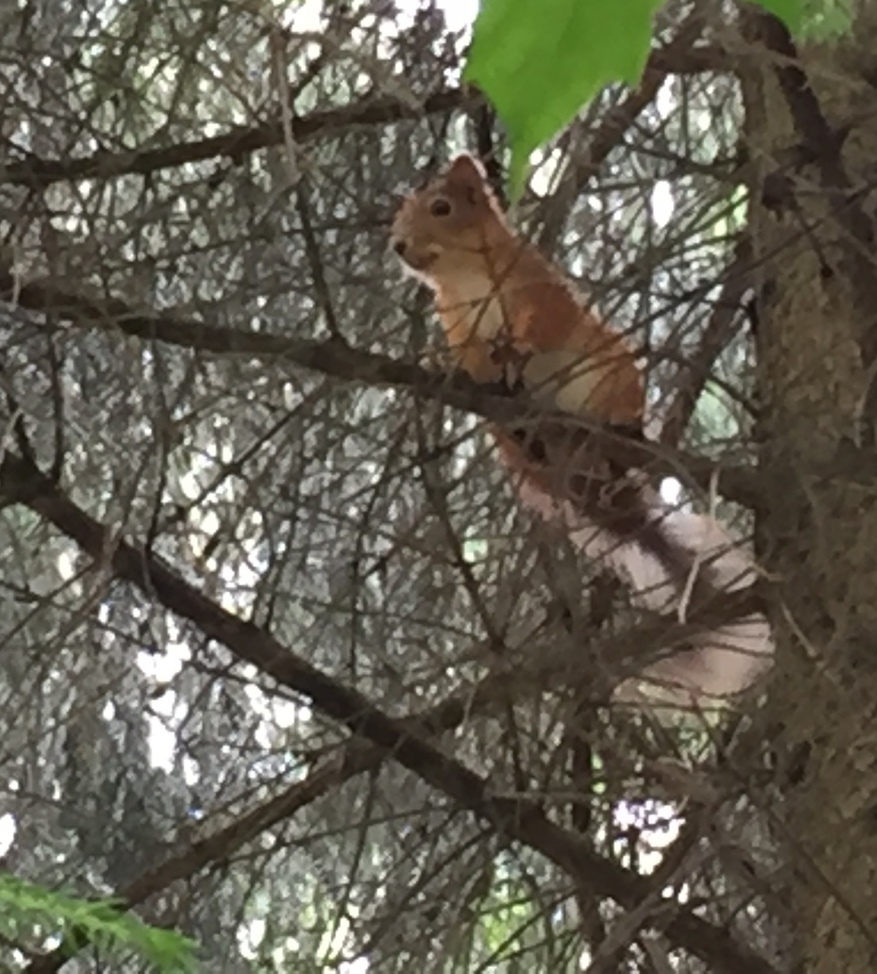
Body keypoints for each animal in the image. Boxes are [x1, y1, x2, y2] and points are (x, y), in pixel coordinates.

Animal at [392, 152, 772, 704]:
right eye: (400, 213)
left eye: (441, 207)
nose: (397, 246)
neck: (465, 277)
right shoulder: (458, 326)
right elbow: (468, 358)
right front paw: (456, 370)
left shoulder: (538, 289)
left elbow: (540, 324)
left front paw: (520, 347)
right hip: (506, 443)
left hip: (613, 377)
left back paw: (618, 428)